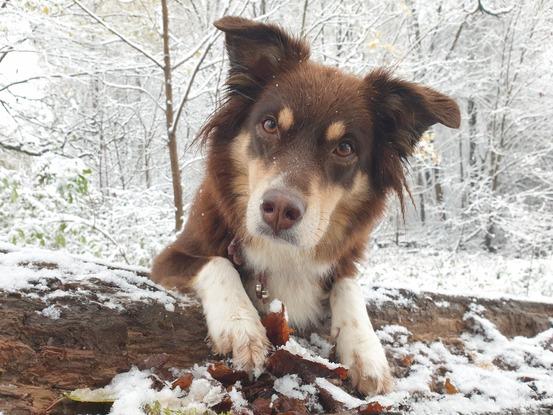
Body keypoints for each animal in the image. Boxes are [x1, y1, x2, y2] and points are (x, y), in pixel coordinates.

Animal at [150, 16, 458, 396]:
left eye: (345, 147)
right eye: (269, 124)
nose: (280, 210)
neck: (283, 254)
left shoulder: (344, 261)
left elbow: (349, 286)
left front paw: (367, 351)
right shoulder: (170, 258)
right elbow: (218, 263)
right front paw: (241, 325)